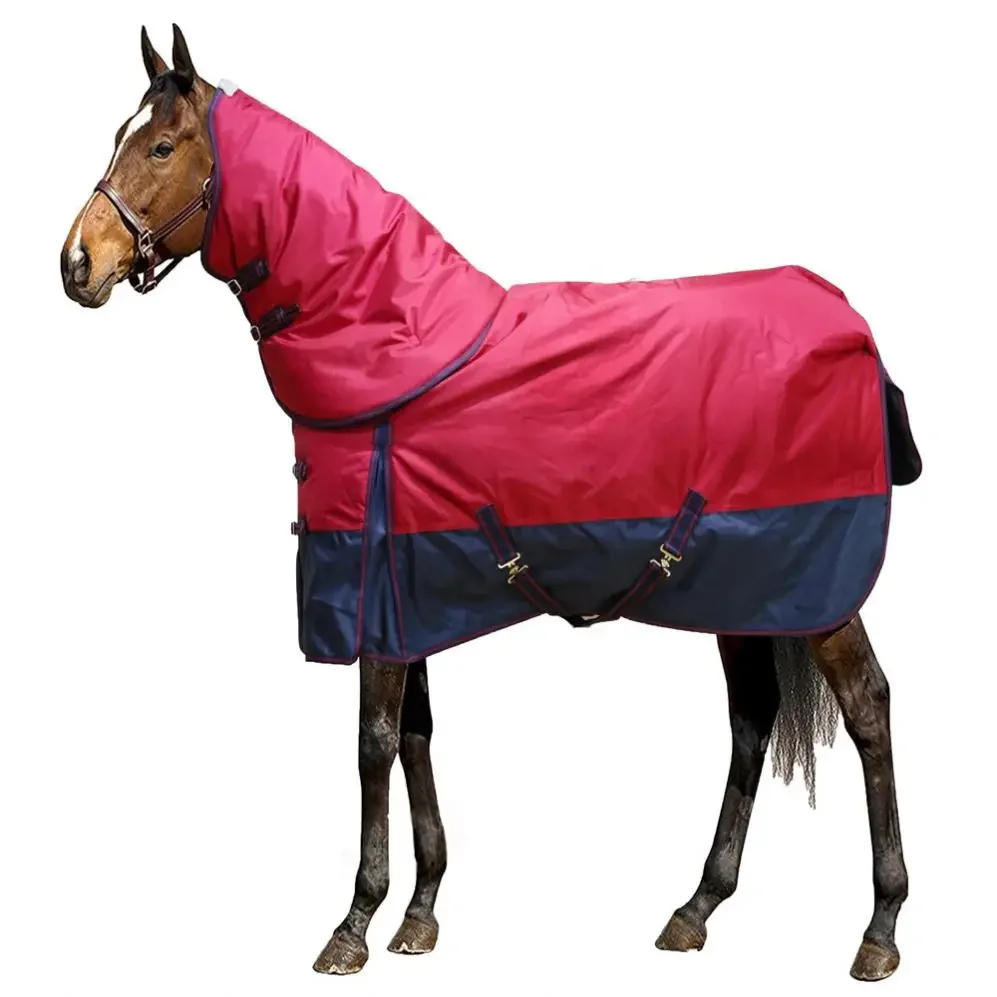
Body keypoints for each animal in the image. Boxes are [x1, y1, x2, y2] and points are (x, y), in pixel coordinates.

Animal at [60, 24, 919, 982]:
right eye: (118, 136)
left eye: (161, 146)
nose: (77, 263)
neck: (398, 353)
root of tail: (849, 322)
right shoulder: (406, 594)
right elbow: (417, 735)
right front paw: (419, 912)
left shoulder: (371, 587)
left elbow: (372, 743)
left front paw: (352, 924)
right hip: (743, 588)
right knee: (751, 720)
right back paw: (695, 907)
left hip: (817, 593)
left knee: (868, 708)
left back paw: (879, 928)